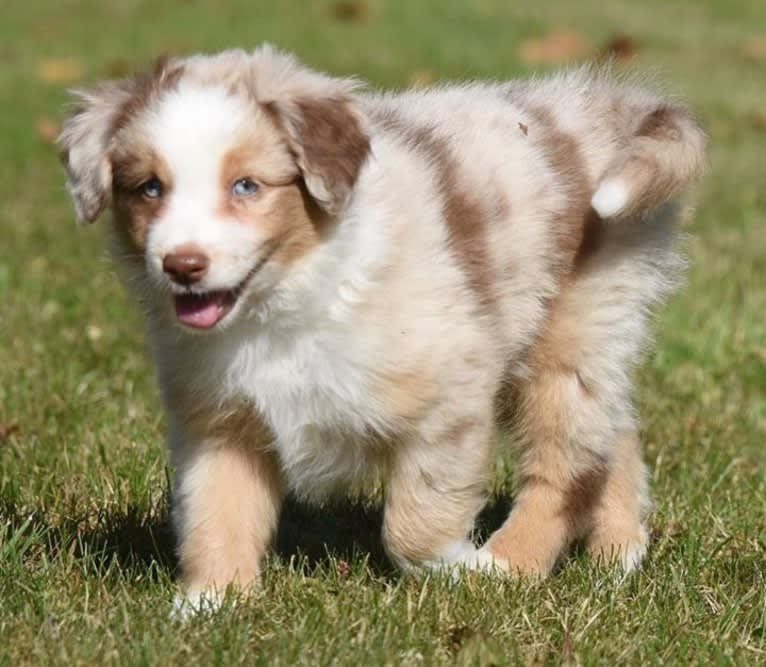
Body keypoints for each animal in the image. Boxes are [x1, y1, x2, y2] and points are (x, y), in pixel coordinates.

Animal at [60, 45, 708, 612]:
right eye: (149, 188)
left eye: (246, 186)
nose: (182, 265)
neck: (287, 300)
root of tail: (603, 106)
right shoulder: (220, 419)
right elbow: (215, 513)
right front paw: (208, 606)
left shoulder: (450, 393)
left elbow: (412, 524)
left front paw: (457, 569)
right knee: (612, 436)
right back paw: (617, 555)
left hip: (575, 324)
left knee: (567, 465)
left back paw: (509, 565)